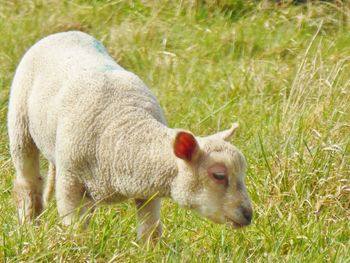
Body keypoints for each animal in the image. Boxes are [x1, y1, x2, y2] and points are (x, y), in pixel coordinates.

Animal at [7, 31, 252, 243]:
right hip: (20, 124)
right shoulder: (70, 179)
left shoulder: (149, 189)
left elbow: (150, 229)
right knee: (27, 182)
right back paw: (28, 224)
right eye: (218, 175)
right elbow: (74, 224)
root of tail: (62, 33)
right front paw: (77, 245)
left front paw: (151, 251)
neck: (125, 135)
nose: (248, 214)